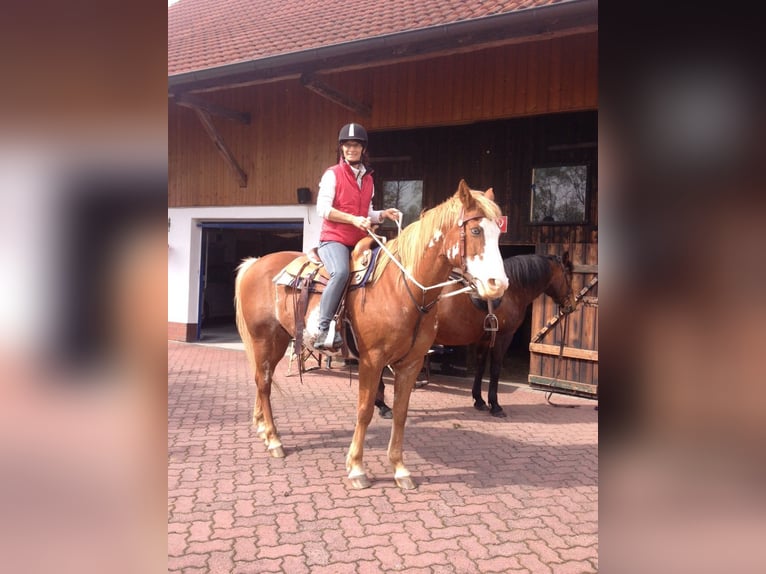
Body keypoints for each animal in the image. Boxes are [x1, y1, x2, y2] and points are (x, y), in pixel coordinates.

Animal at [234, 180, 508, 489]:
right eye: (475, 231)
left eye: (498, 231)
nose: (498, 285)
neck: (402, 288)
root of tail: (256, 263)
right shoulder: (372, 361)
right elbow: (365, 410)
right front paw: (356, 468)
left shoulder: (411, 363)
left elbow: (400, 412)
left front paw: (400, 469)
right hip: (265, 338)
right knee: (264, 383)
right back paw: (274, 440)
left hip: (277, 340)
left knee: (261, 380)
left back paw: (262, 428)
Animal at [434, 252, 575, 417]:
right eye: (568, 276)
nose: (572, 305)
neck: (511, 291)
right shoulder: (503, 337)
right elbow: (495, 369)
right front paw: (495, 405)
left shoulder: (485, 339)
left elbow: (480, 367)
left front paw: (479, 401)